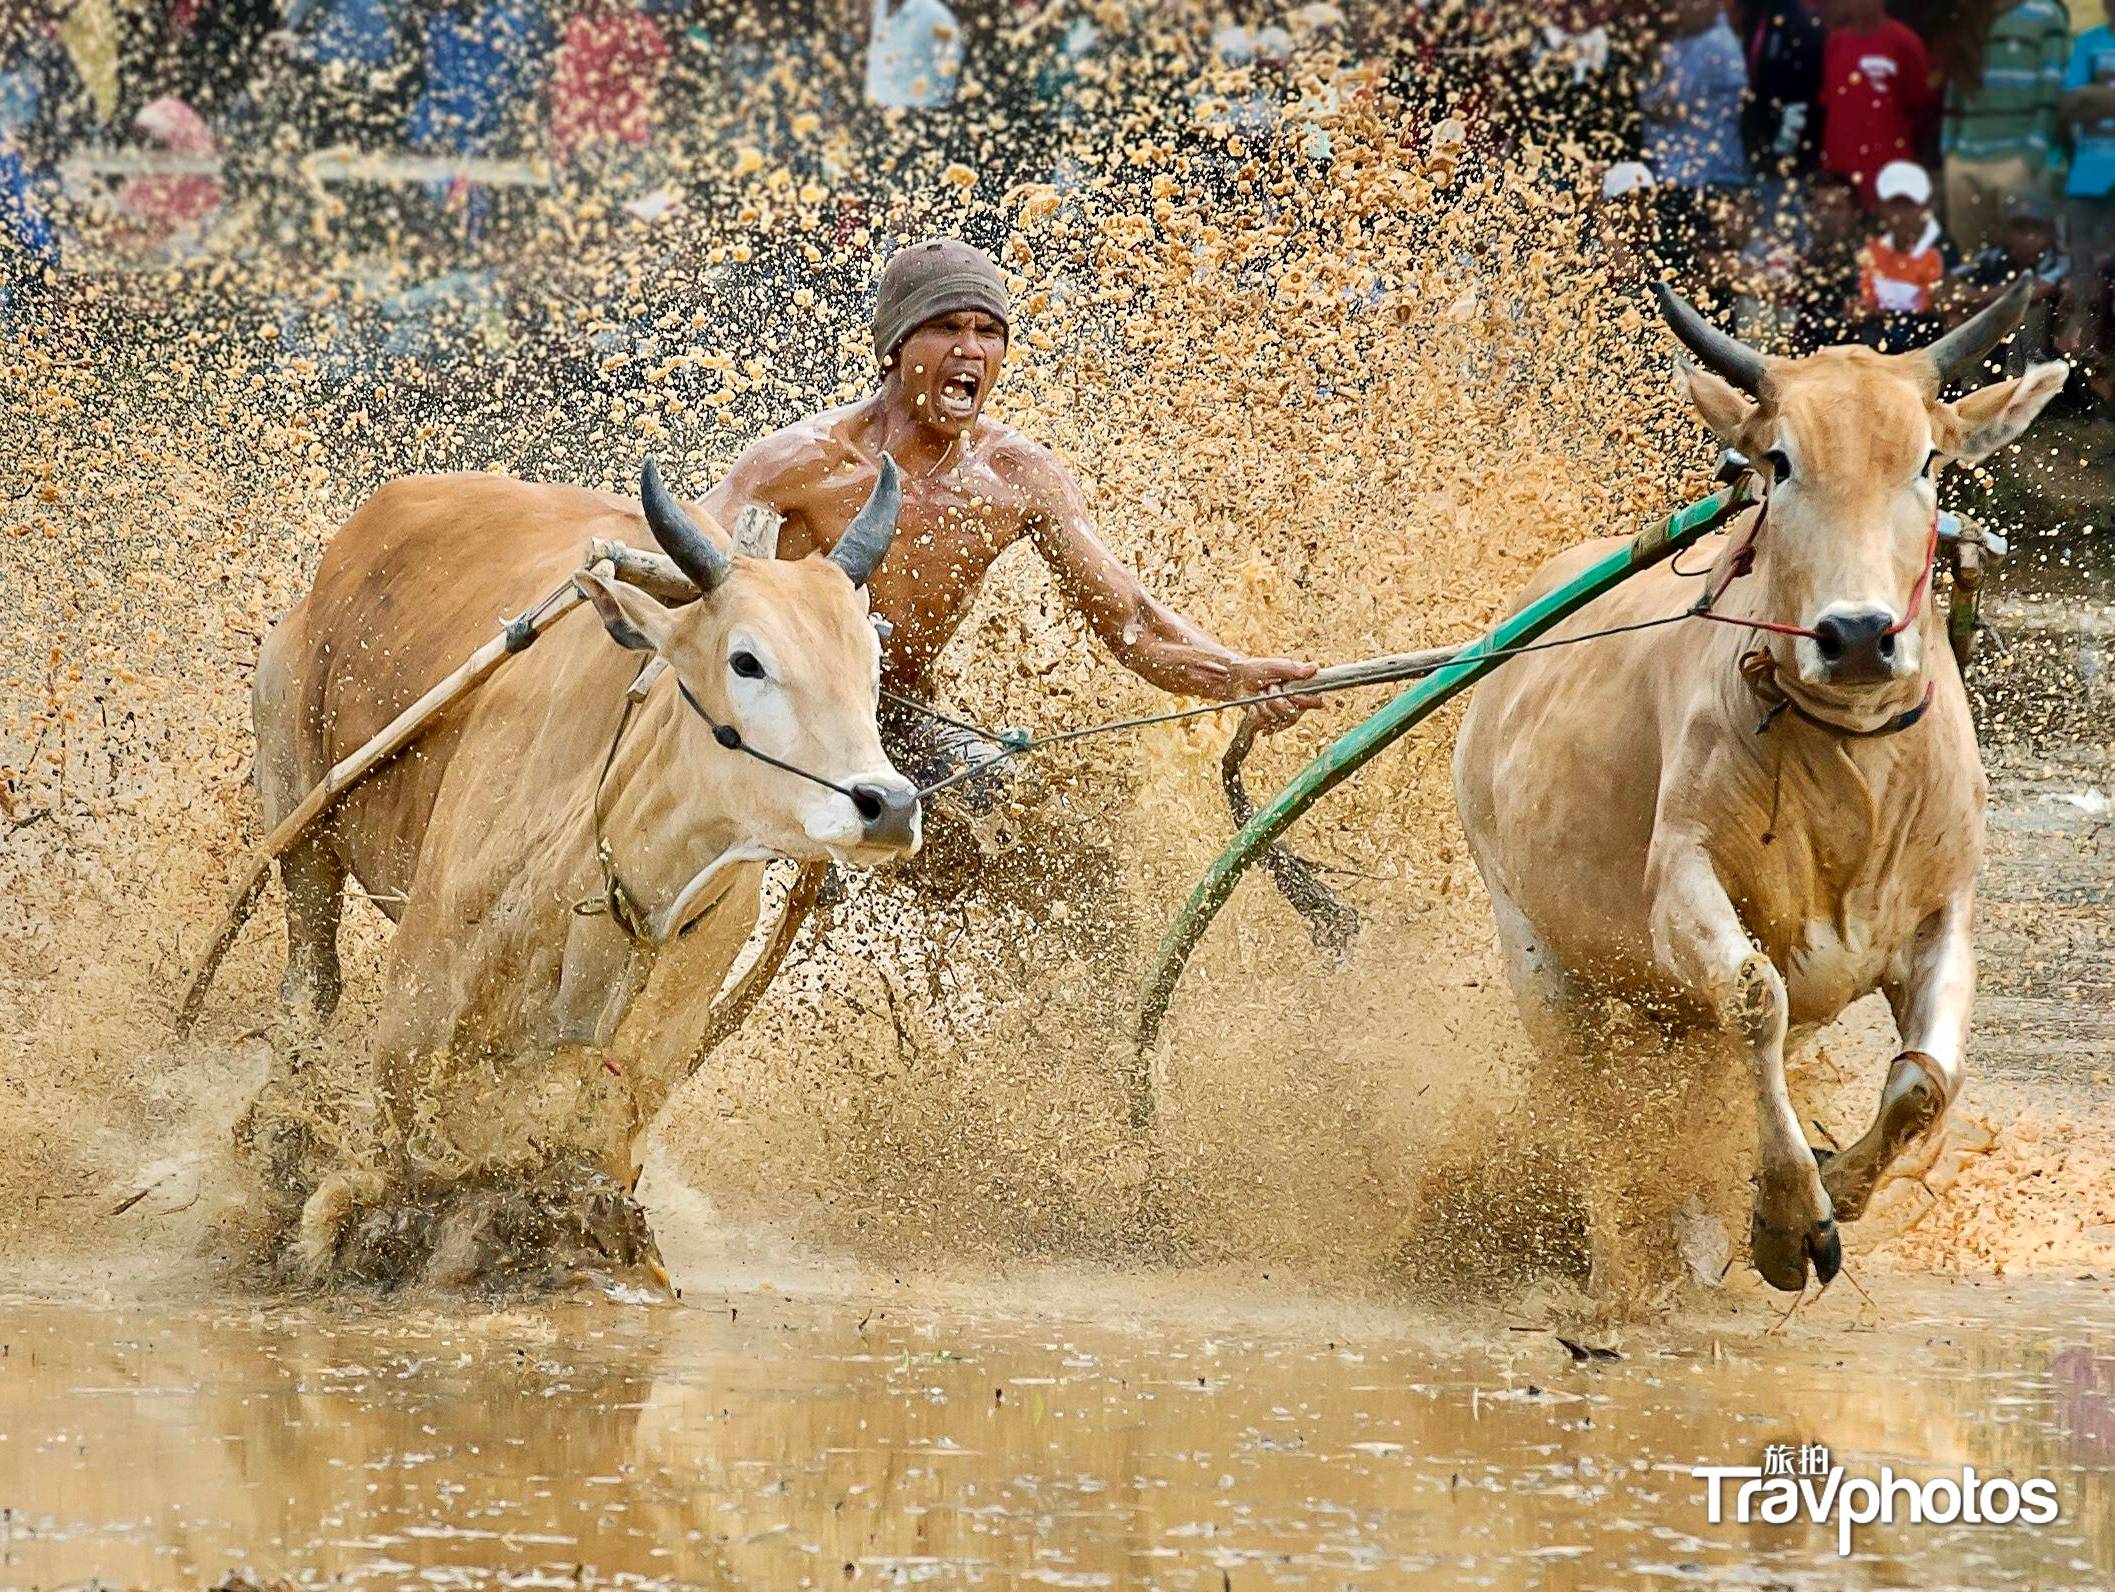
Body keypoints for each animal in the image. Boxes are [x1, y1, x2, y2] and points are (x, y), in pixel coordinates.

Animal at [1455, 272, 2064, 1293]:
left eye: (1926, 462)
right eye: (1779, 461)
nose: (1855, 635)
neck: (1851, 763)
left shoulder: (1944, 915)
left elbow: (1922, 1082)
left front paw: (1839, 1185)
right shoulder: (1680, 887)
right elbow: (1754, 997)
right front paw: (1785, 1219)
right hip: (1533, 953)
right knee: (1592, 1118)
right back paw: (1623, 1269)